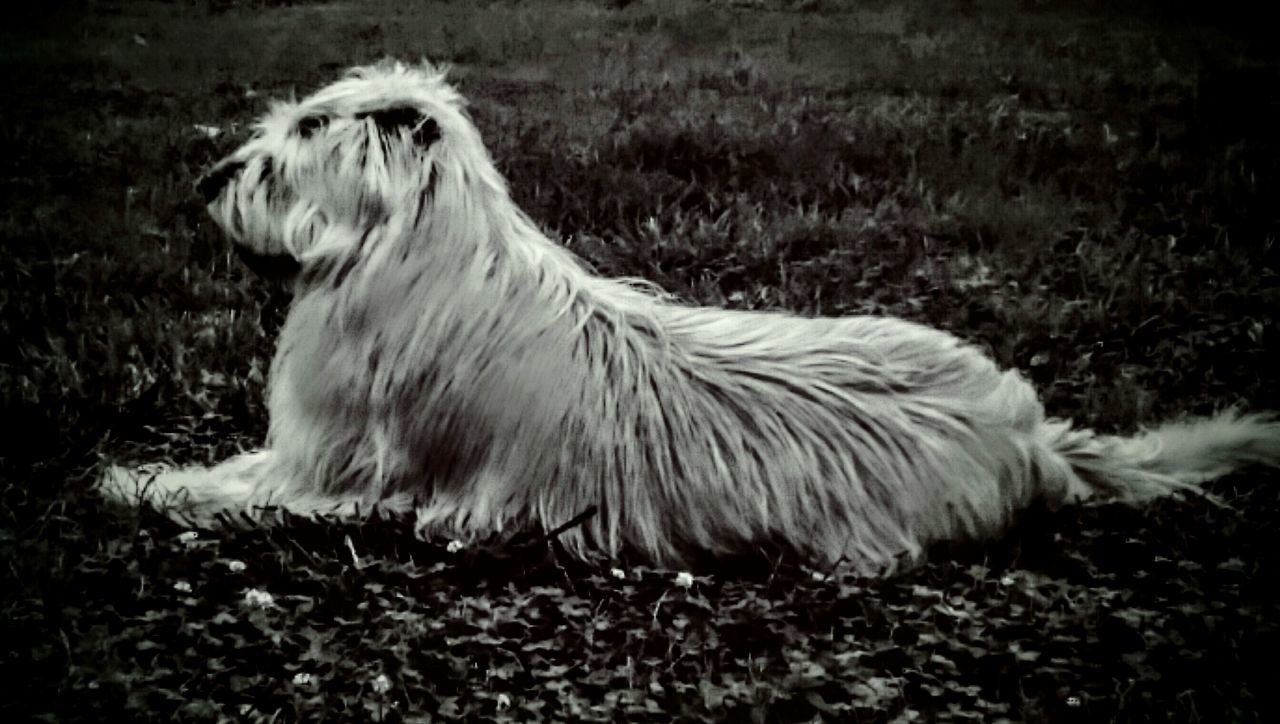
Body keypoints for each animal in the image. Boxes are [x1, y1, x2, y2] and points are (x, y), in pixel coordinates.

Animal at [102, 61, 1280, 573]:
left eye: (304, 129)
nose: (208, 179)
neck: (418, 246)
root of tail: (1035, 436)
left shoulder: (335, 470)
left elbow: (227, 485)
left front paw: (138, 479)